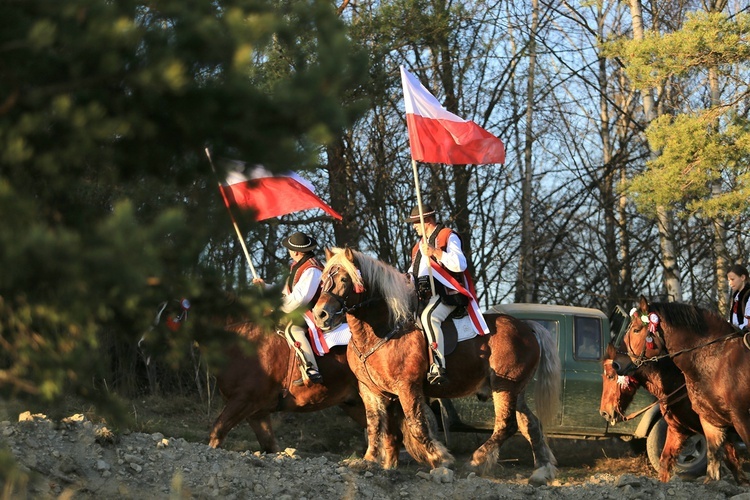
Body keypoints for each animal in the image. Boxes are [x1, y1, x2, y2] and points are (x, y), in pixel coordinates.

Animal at [142, 294, 366, 452]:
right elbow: (269, 446)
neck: (241, 342)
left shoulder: (243, 401)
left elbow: (216, 433)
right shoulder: (257, 413)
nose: (143, 343)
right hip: (354, 404)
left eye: (173, 314)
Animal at [308, 247, 560, 484]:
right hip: (515, 390)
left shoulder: (407, 387)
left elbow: (416, 424)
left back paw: (477, 461)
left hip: (504, 387)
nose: (321, 315)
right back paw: (541, 471)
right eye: (322, 280)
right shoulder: (371, 391)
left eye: (344, 279)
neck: (382, 330)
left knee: (506, 425)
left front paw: (440, 459)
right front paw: (372, 461)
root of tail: (527, 327)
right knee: (530, 424)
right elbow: (376, 426)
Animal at [624, 294, 750, 482]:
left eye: (637, 330)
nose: (619, 365)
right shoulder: (710, 422)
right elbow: (713, 466)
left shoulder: (742, 420)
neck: (717, 360)